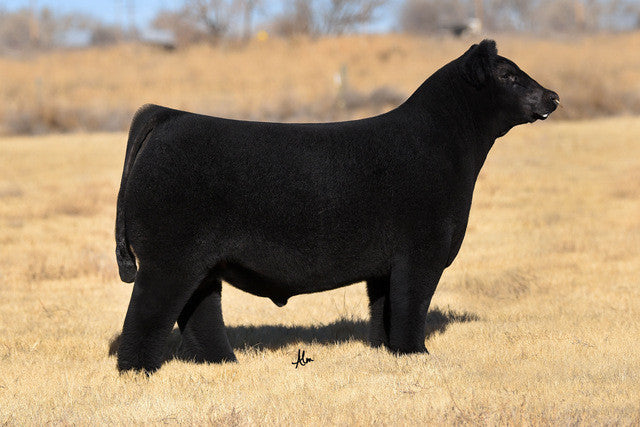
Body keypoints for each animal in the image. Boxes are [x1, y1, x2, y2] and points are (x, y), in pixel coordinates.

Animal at [115, 40, 559, 374]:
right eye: (507, 75)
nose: (553, 97)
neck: (445, 143)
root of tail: (169, 115)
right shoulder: (423, 251)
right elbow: (412, 305)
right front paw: (417, 355)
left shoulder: (385, 265)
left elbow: (384, 311)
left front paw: (387, 352)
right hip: (168, 260)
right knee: (147, 314)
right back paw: (139, 372)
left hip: (202, 264)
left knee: (200, 311)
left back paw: (224, 363)